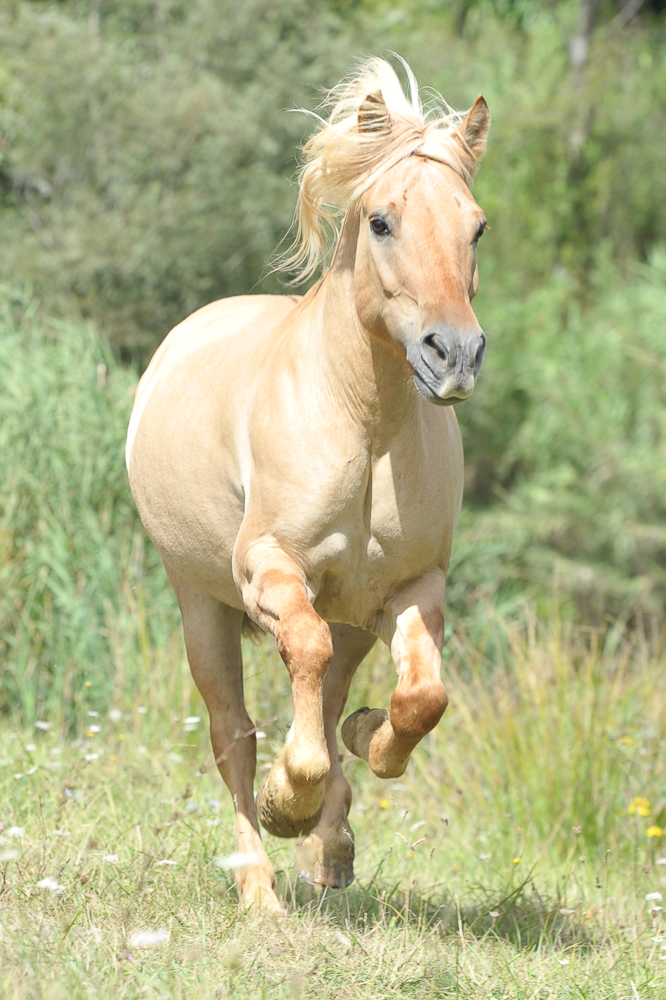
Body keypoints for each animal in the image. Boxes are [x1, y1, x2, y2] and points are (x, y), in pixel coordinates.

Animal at [126, 57, 490, 913]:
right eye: (382, 222)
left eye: (477, 227)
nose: (455, 355)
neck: (363, 423)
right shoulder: (269, 570)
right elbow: (296, 691)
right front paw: (288, 799)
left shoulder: (413, 588)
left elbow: (421, 699)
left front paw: (365, 741)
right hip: (200, 608)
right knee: (234, 734)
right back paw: (260, 884)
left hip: (354, 617)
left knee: (323, 697)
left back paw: (332, 849)